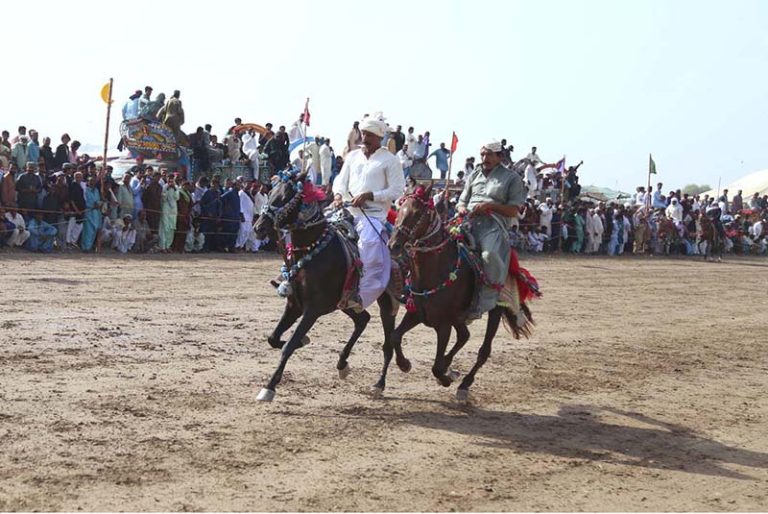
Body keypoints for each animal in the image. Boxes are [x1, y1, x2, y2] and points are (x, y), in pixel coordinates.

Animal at [254, 171, 412, 400]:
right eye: (271, 191)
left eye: (285, 196)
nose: (259, 227)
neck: (313, 251)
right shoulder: (295, 305)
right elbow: (274, 339)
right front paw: (304, 341)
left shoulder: (313, 309)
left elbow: (288, 345)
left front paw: (269, 387)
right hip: (346, 302)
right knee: (363, 320)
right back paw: (343, 364)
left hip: (386, 302)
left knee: (388, 340)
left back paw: (383, 380)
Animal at [384, 183, 536, 400]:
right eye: (399, 207)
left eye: (418, 213)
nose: (393, 245)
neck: (436, 269)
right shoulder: (417, 313)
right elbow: (395, 336)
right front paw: (405, 364)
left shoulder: (444, 325)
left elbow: (436, 366)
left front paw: (444, 377)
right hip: (458, 317)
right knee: (464, 336)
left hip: (494, 311)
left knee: (483, 350)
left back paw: (464, 384)